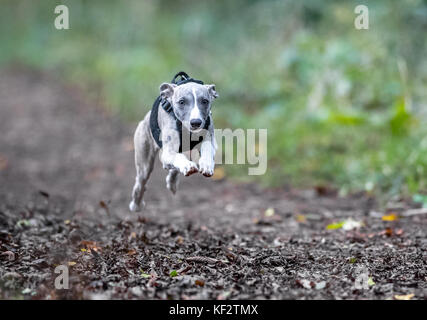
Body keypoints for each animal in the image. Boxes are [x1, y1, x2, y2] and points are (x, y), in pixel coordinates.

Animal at [129, 79, 219, 212]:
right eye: (181, 102)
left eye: (205, 101)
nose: (196, 122)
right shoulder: (168, 152)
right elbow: (178, 157)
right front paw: (188, 166)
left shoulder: (210, 138)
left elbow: (207, 148)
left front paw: (207, 166)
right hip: (144, 163)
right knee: (141, 183)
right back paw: (136, 204)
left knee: (173, 168)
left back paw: (172, 182)